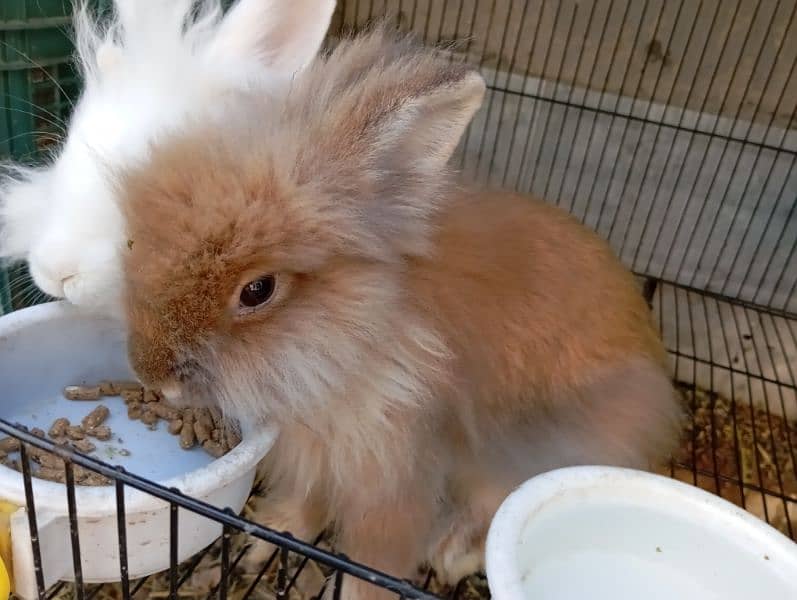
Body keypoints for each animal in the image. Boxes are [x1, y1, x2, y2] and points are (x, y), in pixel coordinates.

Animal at [121, 25, 680, 596]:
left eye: (257, 290)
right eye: (134, 243)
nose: (150, 374)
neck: (354, 340)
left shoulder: (394, 479)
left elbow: (377, 557)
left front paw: (355, 590)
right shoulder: (316, 461)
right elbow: (307, 506)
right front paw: (271, 536)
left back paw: (453, 554)